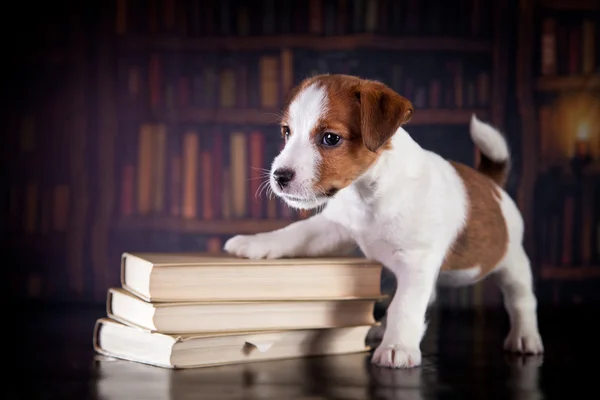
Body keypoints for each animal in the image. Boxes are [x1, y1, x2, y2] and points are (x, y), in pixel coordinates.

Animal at [224, 73, 544, 368]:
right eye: (287, 132)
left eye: (330, 138)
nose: (279, 176)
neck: (368, 194)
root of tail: (491, 183)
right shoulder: (334, 228)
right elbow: (295, 233)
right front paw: (254, 243)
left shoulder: (416, 263)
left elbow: (404, 305)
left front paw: (398, 347)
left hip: (513, 263)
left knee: (521, 299)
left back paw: (525, 337)